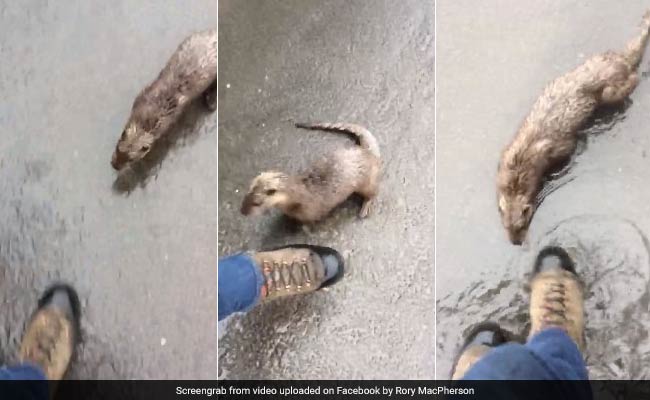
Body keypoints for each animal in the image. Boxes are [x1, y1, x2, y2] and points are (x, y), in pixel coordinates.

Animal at [241, 122, 381, 223]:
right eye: (246, 195)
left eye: (256, 203)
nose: (242, 211)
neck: (299, 197)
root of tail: (367, 152)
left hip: (366, 181)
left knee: (373, 192)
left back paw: (365, 207)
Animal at [497, 11, 650, 245]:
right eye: (506, 227)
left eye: (522, 224)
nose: (516, 242)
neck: (519, 166)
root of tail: (618, 59)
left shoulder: (558, 148)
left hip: (610, 90)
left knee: (628, 81)